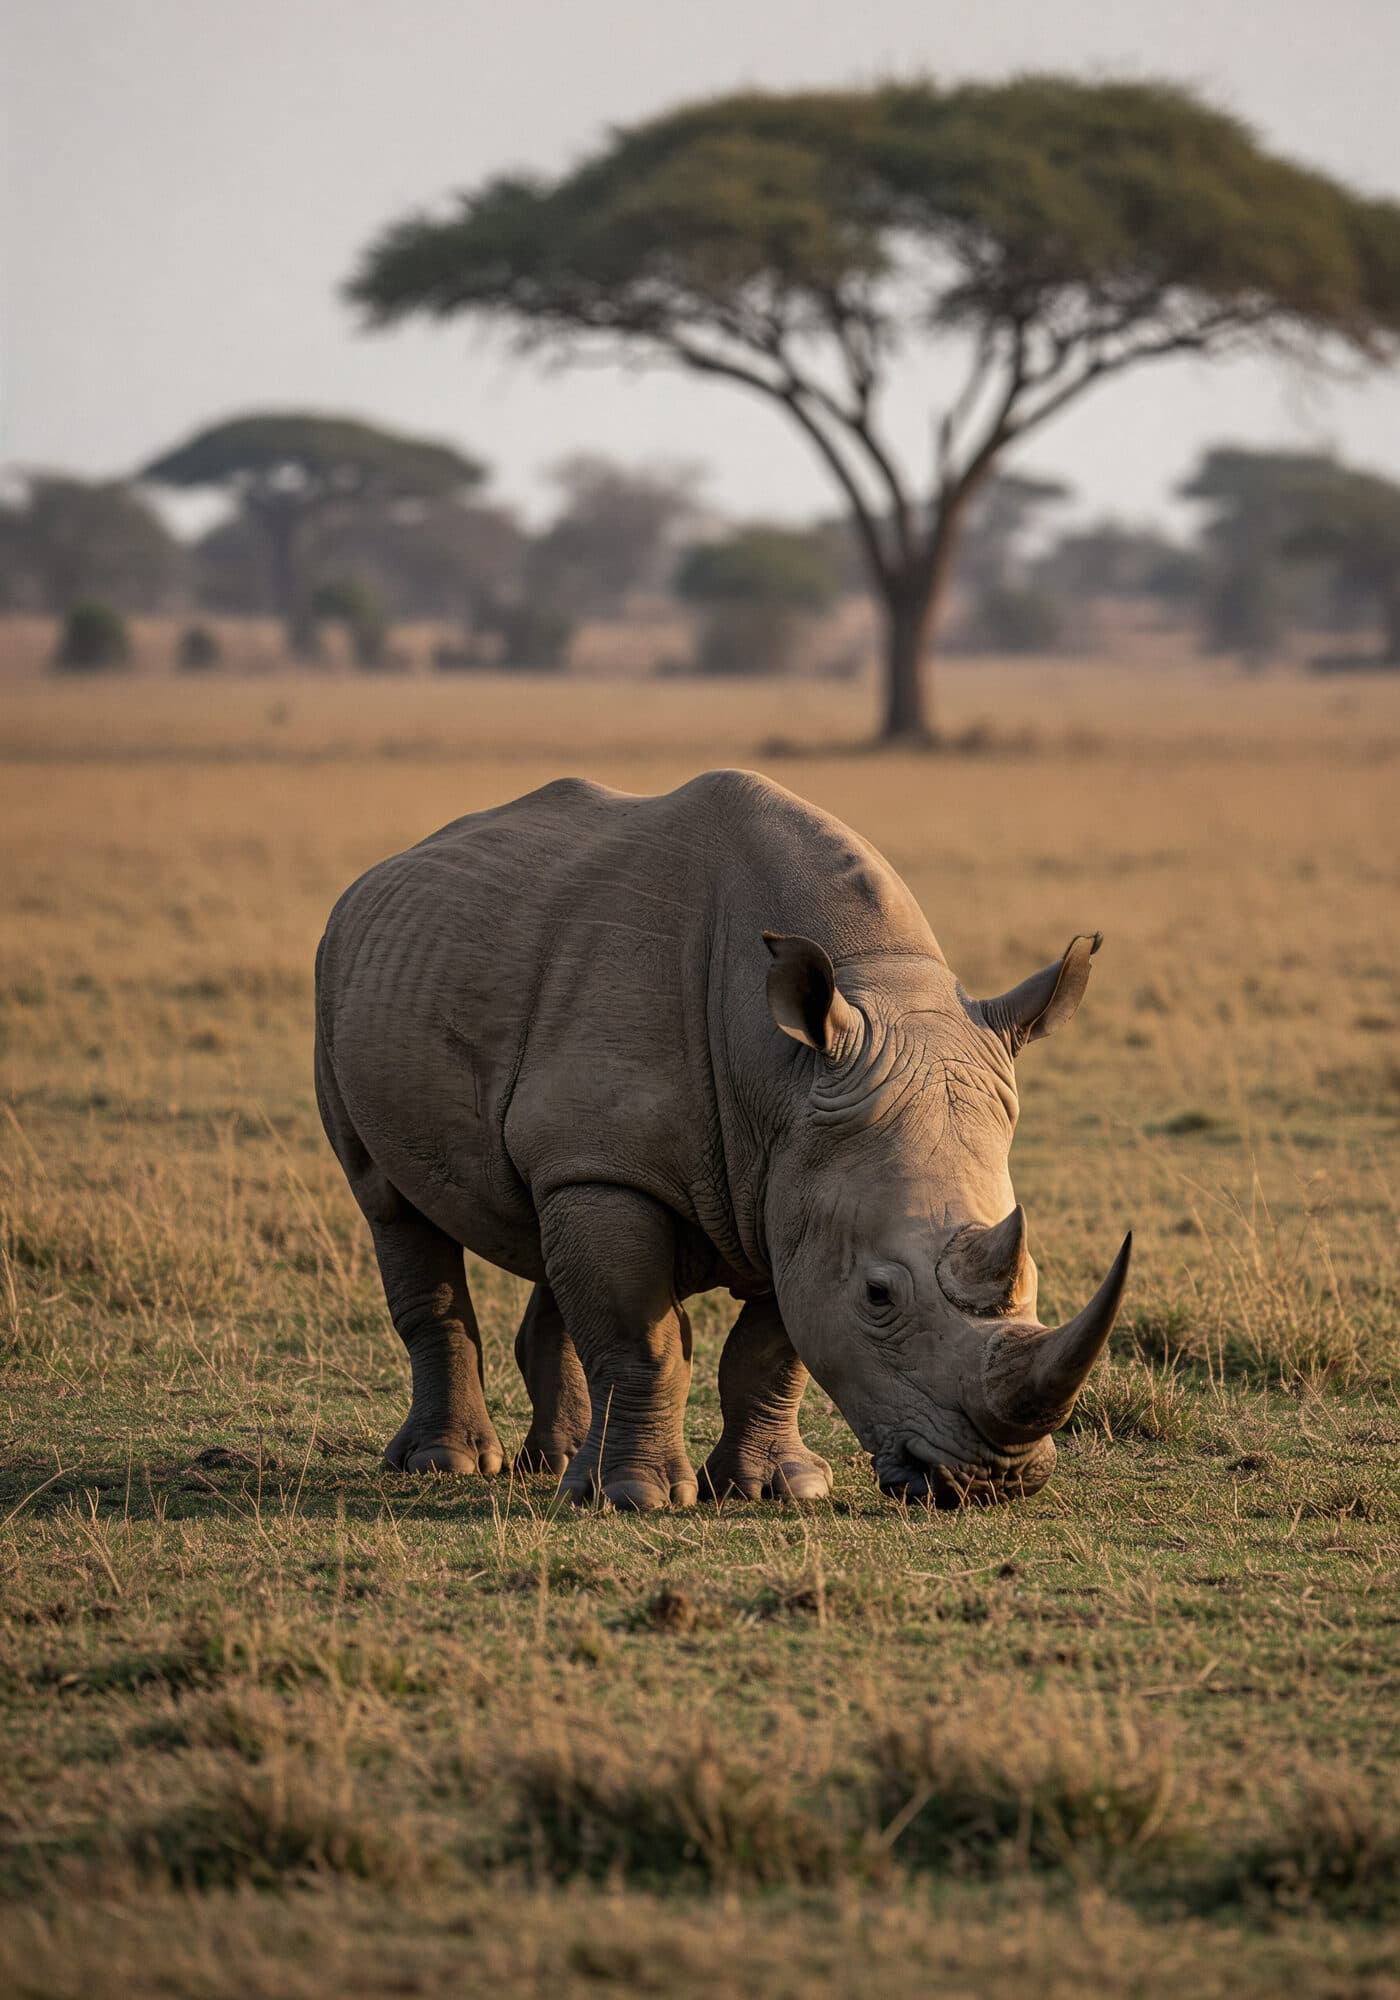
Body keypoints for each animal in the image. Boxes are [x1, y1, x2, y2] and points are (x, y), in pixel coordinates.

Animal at [314, 769, 1130, 1512]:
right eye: (878, 1295)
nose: (996, 1480)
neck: (784, 1067)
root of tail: (377, 876)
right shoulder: (641, 1165)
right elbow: (642, 1339)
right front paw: (634, 1499)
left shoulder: (795, 1173)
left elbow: (770, 1351)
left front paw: (776, 1488)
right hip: (339, 972)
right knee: (389, 1204)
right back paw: (450, 1465)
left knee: (550, 1217)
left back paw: (554, 1465)